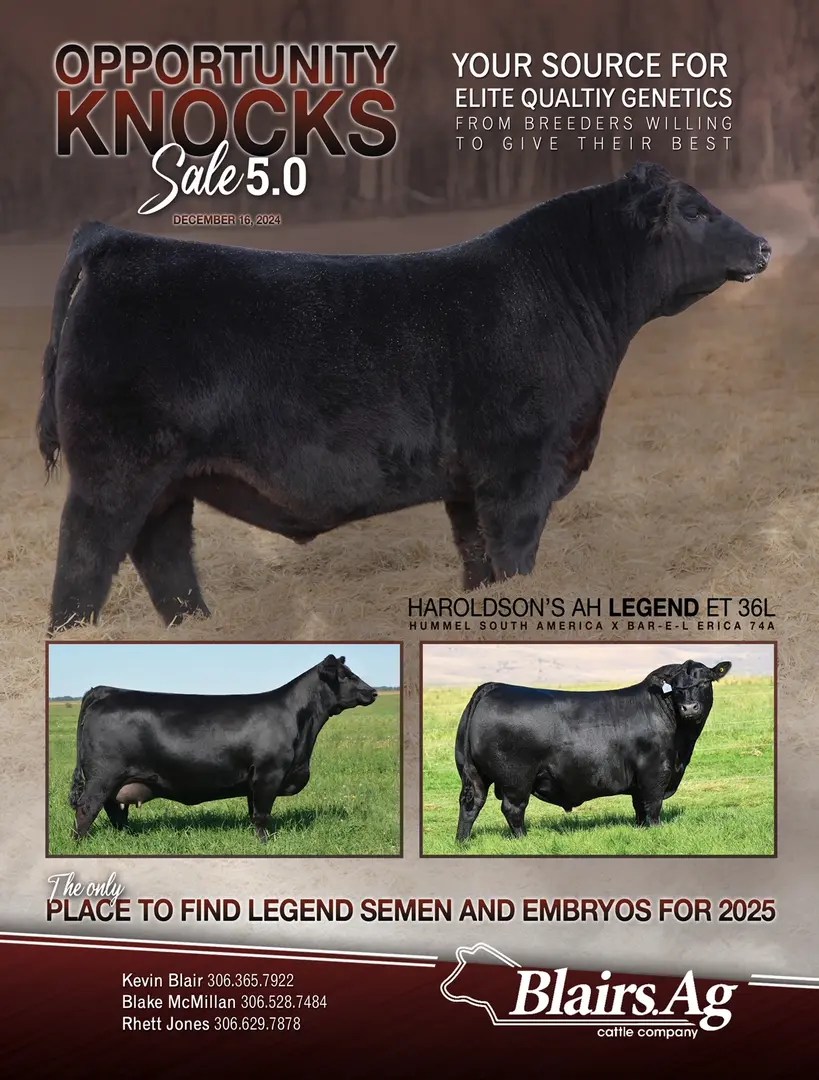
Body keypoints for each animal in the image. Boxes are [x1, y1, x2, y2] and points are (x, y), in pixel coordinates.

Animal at [37, 163, 770, 631]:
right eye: (697, 212)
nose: (764, 244)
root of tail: (118, 240)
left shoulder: (470, 484)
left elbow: (477, 561)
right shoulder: (520, 469)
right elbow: (514, 557)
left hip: (166, 479)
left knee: (162, 554)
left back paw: (195, 628)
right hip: (114, 470)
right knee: (85, 558)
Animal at [67, 654, 377, 841]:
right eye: (346, 676)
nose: (373, 691)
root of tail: (105, 690)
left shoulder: (254, 780)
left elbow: (254, 812)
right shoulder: (269, 772)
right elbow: (262, 813)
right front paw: (265, 842)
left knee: (114, 809)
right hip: (103, 775)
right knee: (87, 808)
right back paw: (81, 843)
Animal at [454, 658, 732, 842]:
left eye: (705, 681)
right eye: (676, 687)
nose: (690, 708)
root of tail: (493, 687)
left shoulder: (640, 780)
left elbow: (639, 808)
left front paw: (640, 829)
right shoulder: (655, 772)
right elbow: (652, 807)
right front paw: (654, 831)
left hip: (475, 775)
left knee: (471, 803)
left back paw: (463, 841)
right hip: (516, 778)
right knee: (513, 809)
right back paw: (523, 840)